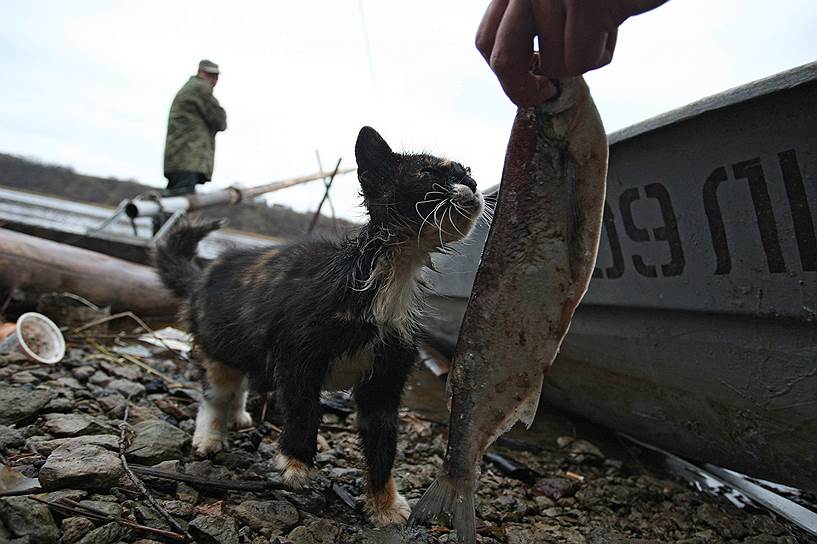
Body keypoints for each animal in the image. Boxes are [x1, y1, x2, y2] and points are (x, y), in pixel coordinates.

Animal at [156, 125, 482, 524]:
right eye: (429, 173)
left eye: (468, 172)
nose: (474, 183)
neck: (390, 274)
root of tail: (202, 275)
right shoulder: (296, 354)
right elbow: (303, 407)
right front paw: (296, 462)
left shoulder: (386, 379)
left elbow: (383, 445)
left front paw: (385, 504)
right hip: (218, 341)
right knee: (215, 389)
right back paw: (211, 434)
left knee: (241, 380)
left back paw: (238, 415)